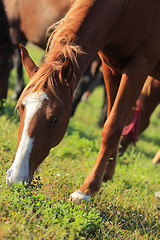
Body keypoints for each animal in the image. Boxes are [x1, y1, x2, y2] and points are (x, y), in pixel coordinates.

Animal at [6, 0, 160, 202]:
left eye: (55, 119)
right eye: (20, 108)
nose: (15, 179)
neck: (126, 8)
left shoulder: (138, 67)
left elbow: (112, 127)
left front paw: (87, 189)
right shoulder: (111, 65)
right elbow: (113, 118)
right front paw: (106, 173)